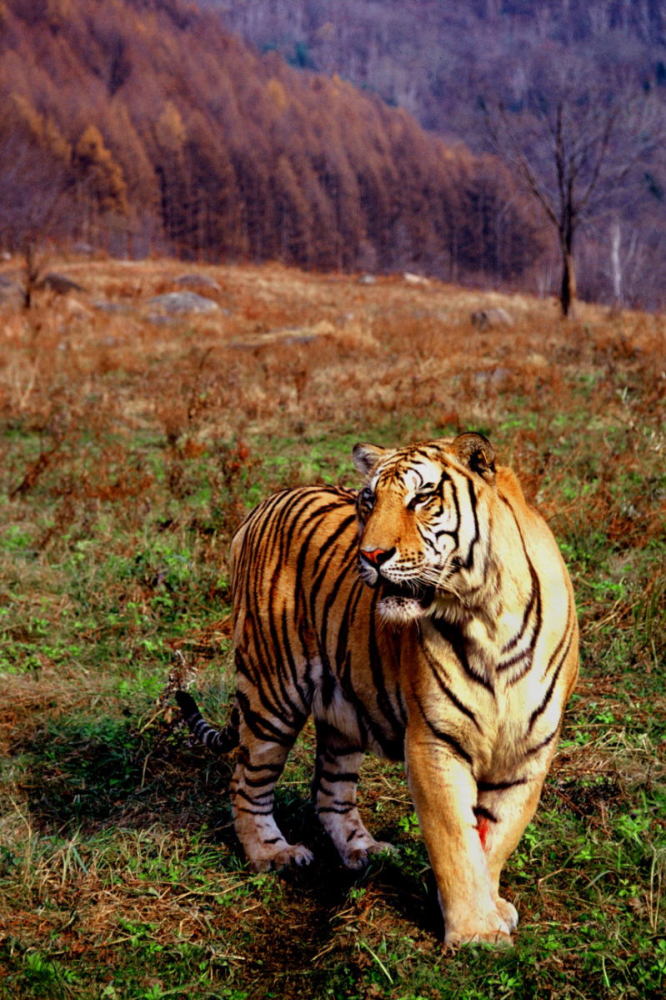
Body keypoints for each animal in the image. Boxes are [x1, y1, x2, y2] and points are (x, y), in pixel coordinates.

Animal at [178, 432, 576, 944]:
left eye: (422, 498)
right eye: (369, 500)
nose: (369, 556)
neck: (486, 612)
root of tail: (262, 504)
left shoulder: (528, 749)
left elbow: (496, 839)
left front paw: (492, 910)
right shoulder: (433, 742)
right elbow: (456, 839)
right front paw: (475, 933)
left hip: (344, 707)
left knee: (330, 792)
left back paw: (364, 850)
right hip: (272, 693)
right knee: (246, 782)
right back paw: (274, 855)